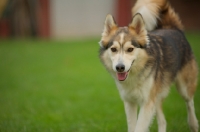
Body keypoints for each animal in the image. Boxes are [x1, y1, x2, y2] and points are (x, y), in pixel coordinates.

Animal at [98, 0, 198, 131]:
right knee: (163, 121)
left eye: (130, 49)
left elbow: (139, 128)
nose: (120, 67)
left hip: (183, 87)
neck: (135, 76)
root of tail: (172, 28)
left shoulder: (147, 102)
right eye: (113, 49)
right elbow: (133, 126)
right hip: (157, 95)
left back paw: (193, 124)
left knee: (190, 102)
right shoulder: (129, 102)